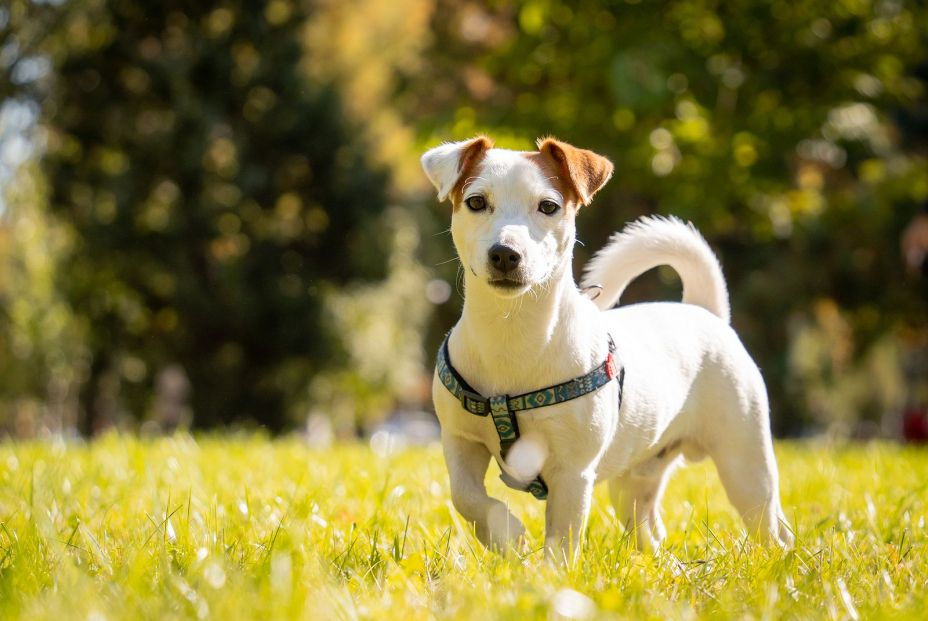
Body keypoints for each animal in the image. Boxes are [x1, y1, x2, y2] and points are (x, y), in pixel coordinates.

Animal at [420, 134, 792, 556]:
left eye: (548, 206)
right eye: (476, 202)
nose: (505, 254)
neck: (512, 332)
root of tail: (703, 310)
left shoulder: (571, 472)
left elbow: (562, 540)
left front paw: (548, 568)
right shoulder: (460, 442)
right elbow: (465, 496)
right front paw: (505, 532)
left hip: (745, 462)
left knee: (771, 525)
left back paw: (778, 559)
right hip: (634, 480)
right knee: (648, 525)